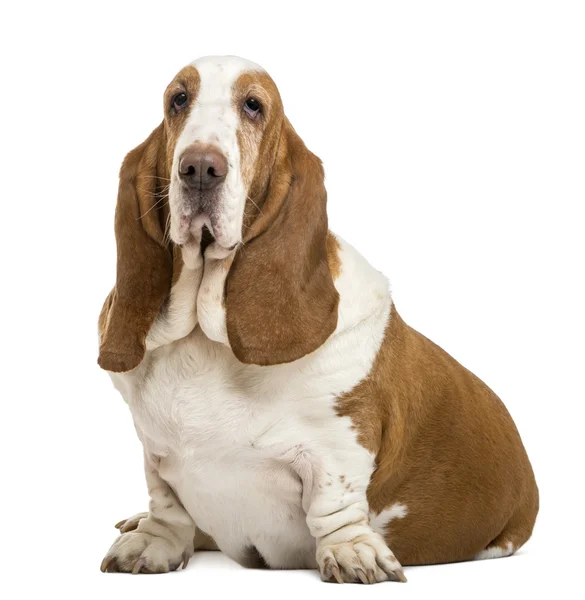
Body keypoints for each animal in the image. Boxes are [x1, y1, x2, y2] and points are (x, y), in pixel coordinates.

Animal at [97, 55, 540, 580]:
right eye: (178, 100)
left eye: (254, 106)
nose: (200, 168)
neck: (206, 338)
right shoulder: (156, 450)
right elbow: (167, 505)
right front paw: (152, 542)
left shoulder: (337, 446)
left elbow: (334, 505)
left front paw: (353, 554)